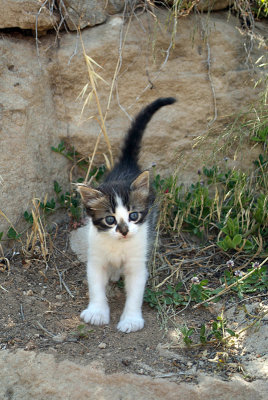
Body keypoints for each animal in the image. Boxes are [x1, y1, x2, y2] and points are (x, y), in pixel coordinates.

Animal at [77, 97, 176, 334]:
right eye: (110, 219)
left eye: (133, 216)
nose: (123, 231)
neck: (118, 246)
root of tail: (127, 166)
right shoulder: (96, 258)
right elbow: (96, 286)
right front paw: (97, 312)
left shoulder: (137, 262)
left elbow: (135, 293)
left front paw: (130, 320)